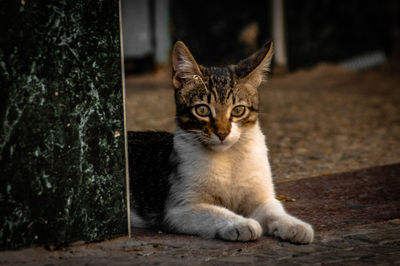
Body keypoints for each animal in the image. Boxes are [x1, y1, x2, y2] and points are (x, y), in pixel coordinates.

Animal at [130, 40, 314, 243]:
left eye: (238, 110)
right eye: (202, 110)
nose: (222, 133)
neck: (228, 157)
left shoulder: (261, 196)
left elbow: (273, 209)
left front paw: (294, 225)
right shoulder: (179, 208)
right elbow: (214, 212)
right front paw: (241, 223)